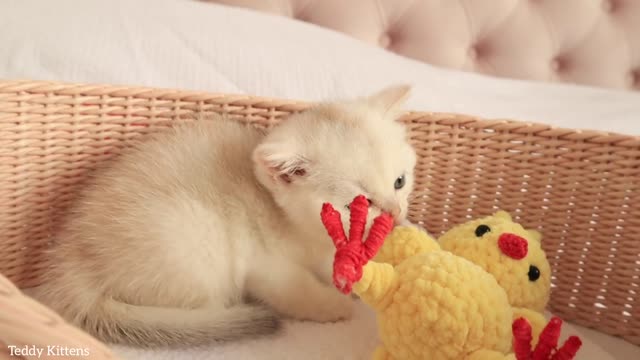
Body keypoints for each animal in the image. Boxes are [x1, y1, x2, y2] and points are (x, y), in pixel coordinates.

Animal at [33, 84, 416, 346]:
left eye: (400, 181)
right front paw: (335, 305)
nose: (396, 214)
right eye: (359, 203)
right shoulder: (264, 266)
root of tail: (68, 266)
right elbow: (298, 291)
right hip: (198, 243)